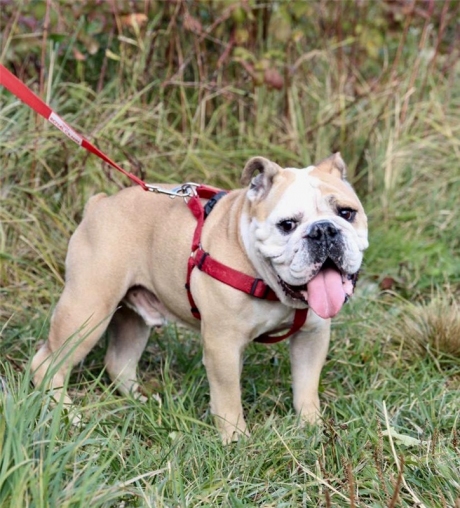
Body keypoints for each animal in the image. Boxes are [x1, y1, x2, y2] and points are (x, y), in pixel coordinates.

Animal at [31, 153, 368, 442]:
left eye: (346, 213)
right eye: (287, 225)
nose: (323, 230)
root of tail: (99, 204)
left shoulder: (311, 336)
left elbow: (306, 386)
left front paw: (312, 427)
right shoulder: (223, 345)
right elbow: (228, 397)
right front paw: (237, 440)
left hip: (131, 317)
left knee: (119, 362)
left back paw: (144, 403)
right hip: (88, 311)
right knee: (46, 363)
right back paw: (68, 414)